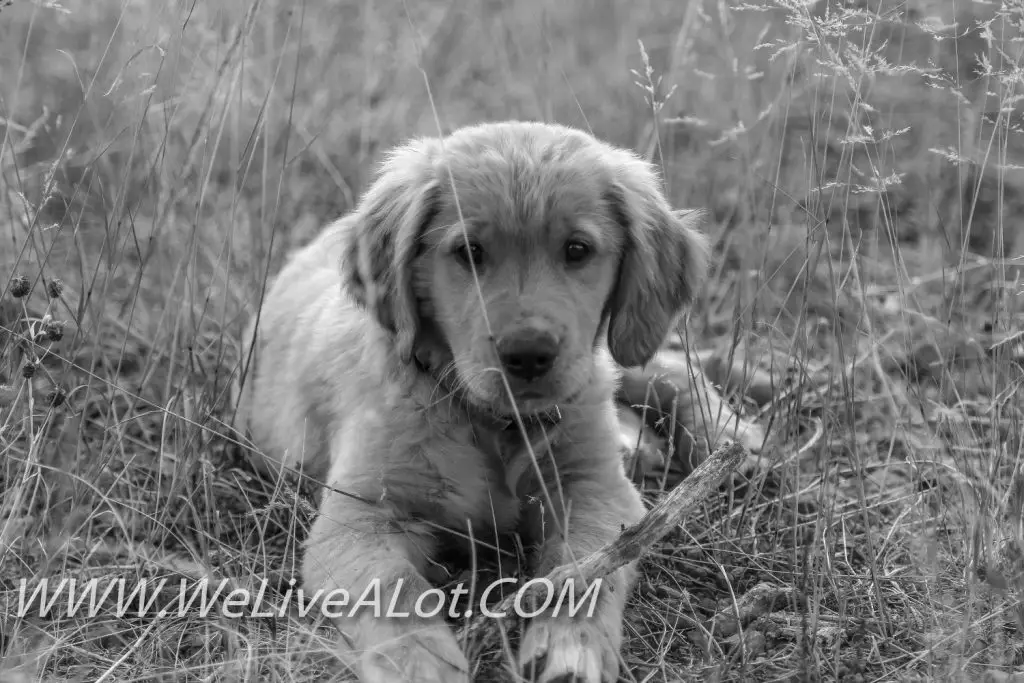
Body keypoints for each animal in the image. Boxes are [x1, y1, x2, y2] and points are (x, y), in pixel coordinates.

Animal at [235, 122, 741, 683]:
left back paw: (731, 433)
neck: (490, 420)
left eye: (577, 249)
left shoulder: (596, 489)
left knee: (667, 367)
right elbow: (392, 586)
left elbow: (584, 568)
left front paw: (571, 646)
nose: (529, 354)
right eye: (469, 252)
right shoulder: (359, 513)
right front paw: (419, 663)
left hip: (606, 366)